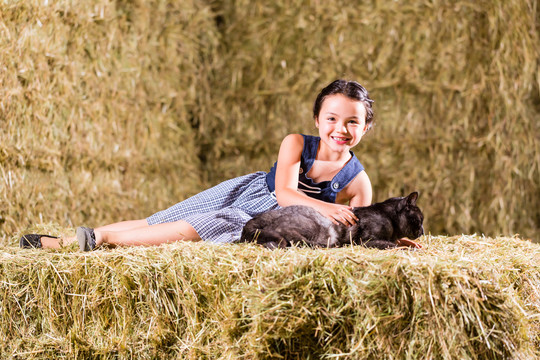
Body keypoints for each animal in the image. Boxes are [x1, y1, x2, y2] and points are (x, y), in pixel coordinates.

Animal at [238, 191, 424, 250]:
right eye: (419, 219)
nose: (422, 231)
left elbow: (400, 242)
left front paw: (413, 244)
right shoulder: (367, 240)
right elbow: (393, 245)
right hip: (314, 226)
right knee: (295, 240)